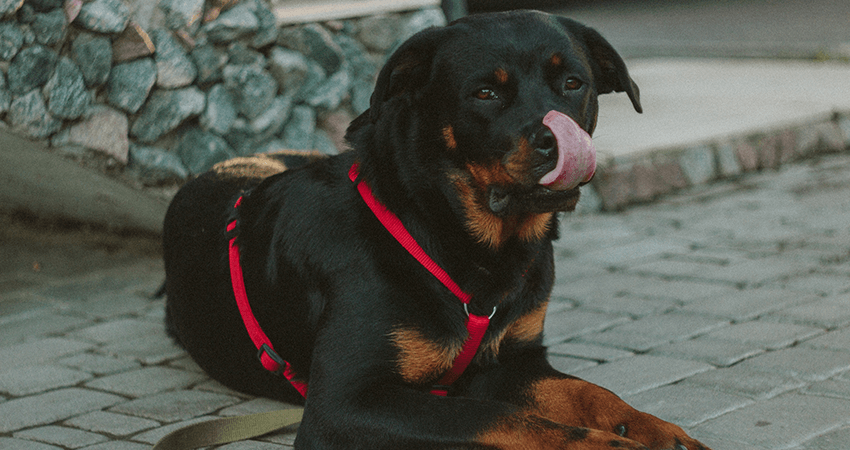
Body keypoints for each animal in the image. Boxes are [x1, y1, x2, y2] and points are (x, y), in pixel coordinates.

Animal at [164, 7, 708, 450]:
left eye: (573, 83)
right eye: (485, 93)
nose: (555, 140)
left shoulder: (513, 361)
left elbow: (589, 391)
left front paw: (656, 429)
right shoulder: (344, 404)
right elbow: (502, 418)